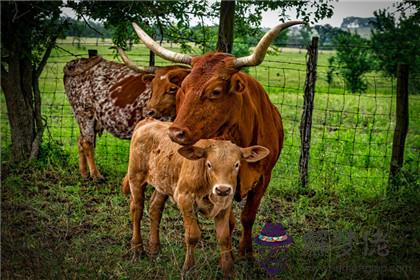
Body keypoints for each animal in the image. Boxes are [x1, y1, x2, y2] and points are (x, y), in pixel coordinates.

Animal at [121, 118, 270, 276]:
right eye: (209, 164)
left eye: (236, 164)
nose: (222, 189)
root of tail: (148, 121)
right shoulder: (185, 199)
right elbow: (192, 235)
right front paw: (189, 267)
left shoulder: (225, 205)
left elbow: (224, 237)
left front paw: (228, 270)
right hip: (136, 177)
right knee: (137, 210)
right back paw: (137, 249)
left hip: (162, 183)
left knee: (155, 208)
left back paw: (155, 249)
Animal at [131, 20, 302, 258]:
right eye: (182, 89)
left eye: (216, 91)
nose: (175, 133)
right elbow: (229, 222)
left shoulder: (264, 178)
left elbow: (248, 217)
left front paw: (246, 254)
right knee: (139, 206)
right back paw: (138, 247)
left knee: (155, 204)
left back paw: (155, 247)